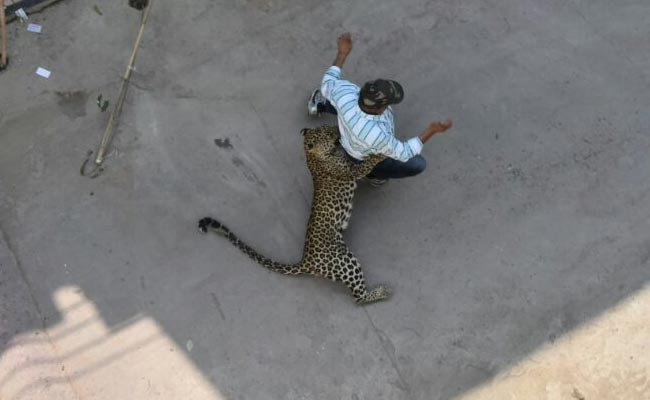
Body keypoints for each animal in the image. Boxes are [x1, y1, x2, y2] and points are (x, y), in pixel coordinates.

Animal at [198, 125, 391, 304]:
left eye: (329, 128)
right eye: (328, 133)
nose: (338, 131)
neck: (313, 156)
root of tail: (306, 261)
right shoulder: (350, 171)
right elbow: (365, 165)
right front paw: (380, 154)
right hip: (344, 261)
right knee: (358, 298)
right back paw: (382, 292)